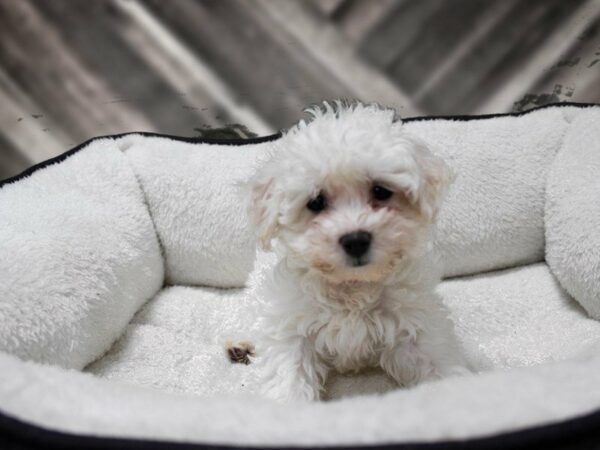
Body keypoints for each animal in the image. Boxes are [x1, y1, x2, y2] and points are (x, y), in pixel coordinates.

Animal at [244, 101, 468, 400]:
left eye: (381, 191)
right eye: (316, 202)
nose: (356, 240)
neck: (353, 287)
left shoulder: (415, 323)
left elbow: (436, 360)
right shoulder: (290, 326)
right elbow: (288, 373)